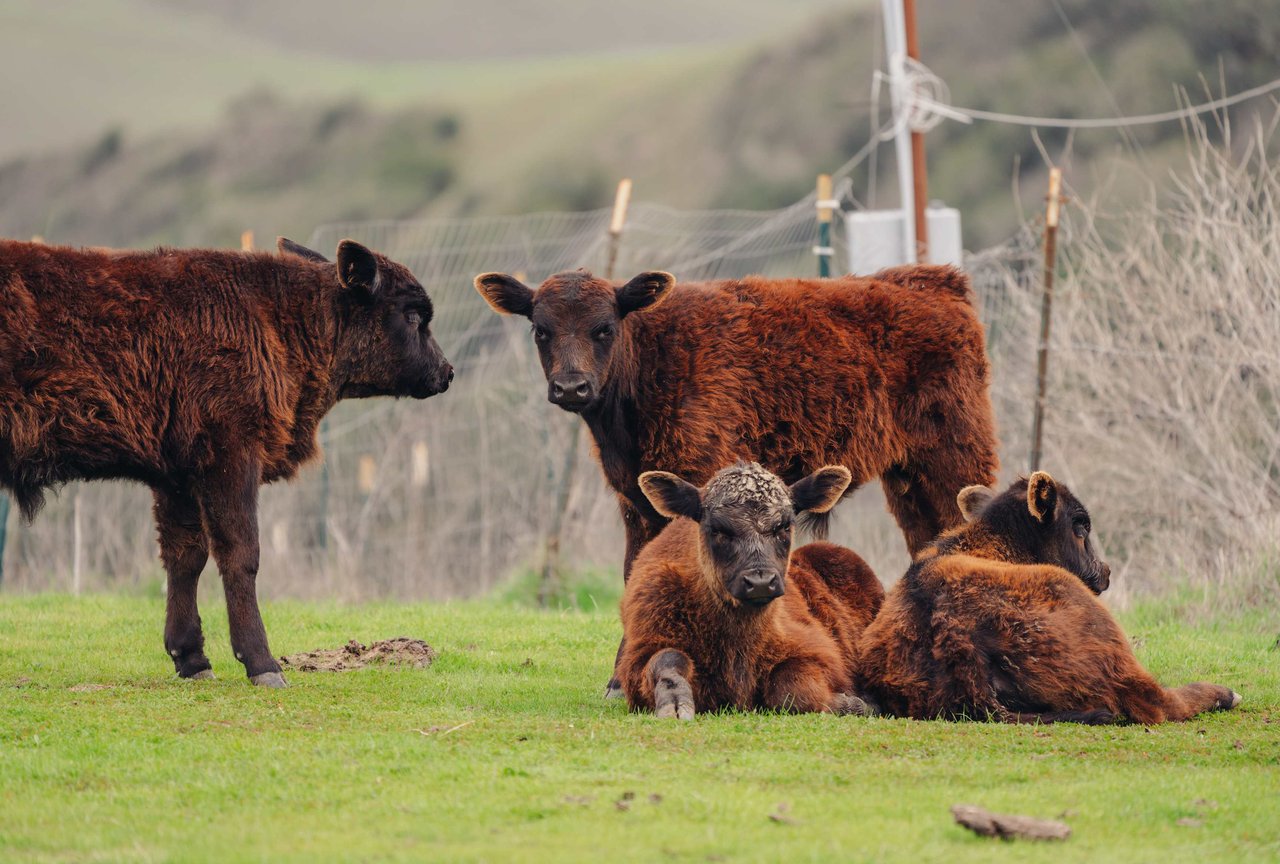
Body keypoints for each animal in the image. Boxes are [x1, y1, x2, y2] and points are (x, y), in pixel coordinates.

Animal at [1, 236, 455, 691]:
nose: (446, 372)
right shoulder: (230, 457)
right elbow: (241, 553)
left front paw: (191, 659)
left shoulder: (177, 477)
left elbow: (186, 556)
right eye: (413, 315)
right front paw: (263, 663)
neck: (277, 316)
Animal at [616, 463, 880, 721]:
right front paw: (675, 704)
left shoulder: (816, 652)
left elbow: (790, 687)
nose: (760, 582)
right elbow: (667, 661)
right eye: (717, 529)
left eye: (784, 526)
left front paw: (853, 704)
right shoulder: (643, 652)